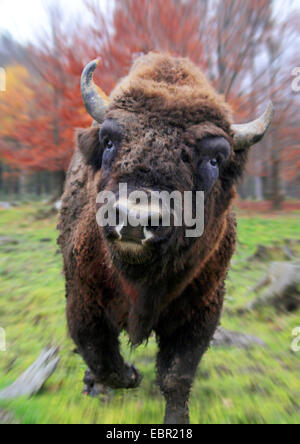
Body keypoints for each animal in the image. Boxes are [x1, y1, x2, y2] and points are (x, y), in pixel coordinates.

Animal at [57, 51, 274, 424]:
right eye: (109, 141)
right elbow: (100, 357)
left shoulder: (200, 313)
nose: (133, 218)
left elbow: (176, 375)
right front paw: (130, 376)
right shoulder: (83, 301)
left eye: (215, 159)